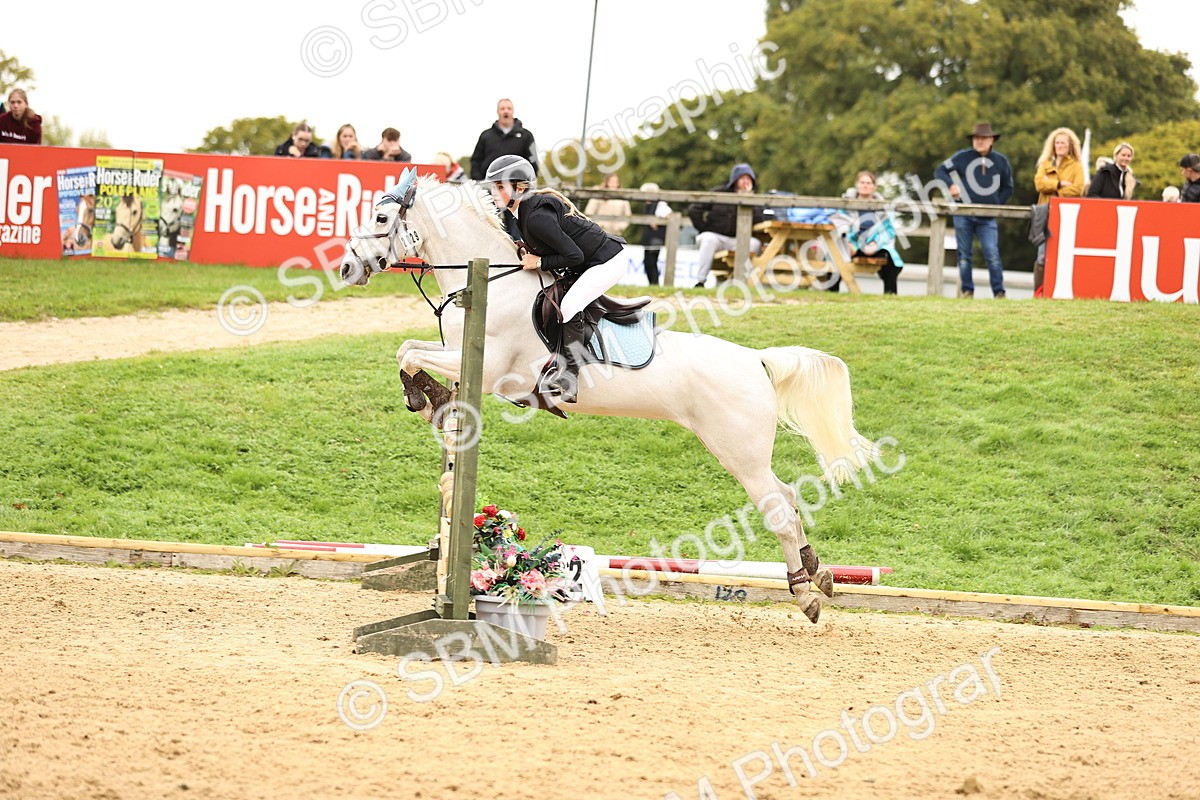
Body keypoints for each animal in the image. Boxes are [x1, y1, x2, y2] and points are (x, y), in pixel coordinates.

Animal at [338, 174, 874, 623]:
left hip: (738, 452)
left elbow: (409, 353)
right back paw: (819, 574)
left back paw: (804, 593)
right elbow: (407, 350)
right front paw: (429, 399)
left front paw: (423, 397)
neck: (494, 281)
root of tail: (757, 360)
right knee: (788, 497)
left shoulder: (489, 371)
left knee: (778, 508)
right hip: (739, 451)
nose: (345, 268)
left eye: (382, 220)